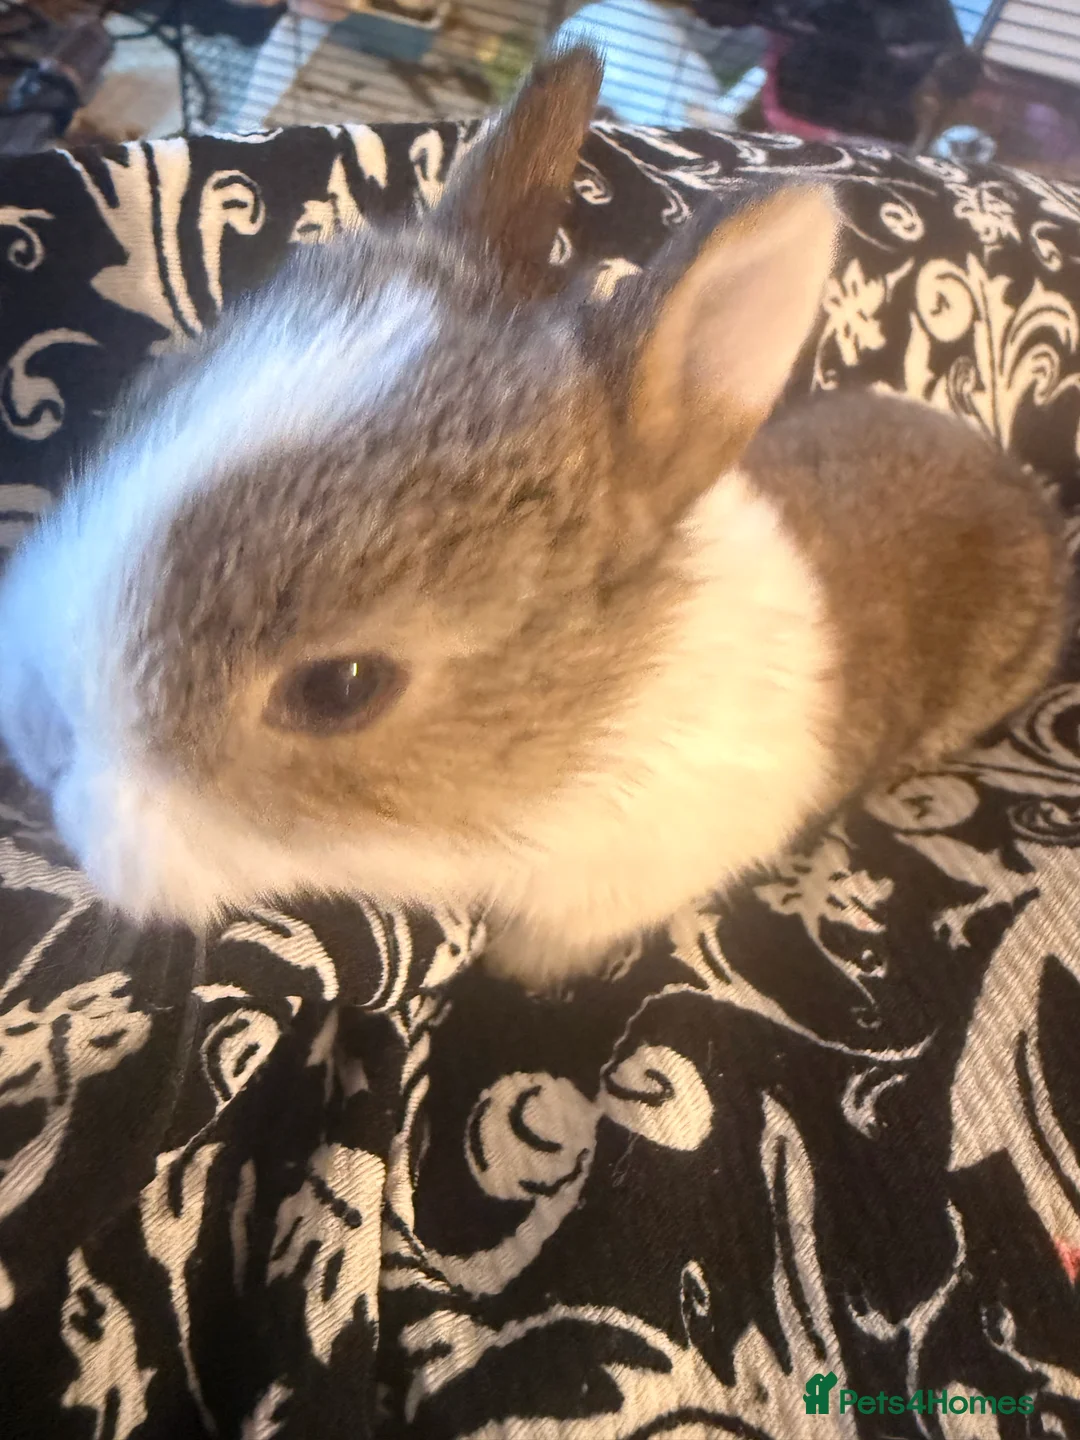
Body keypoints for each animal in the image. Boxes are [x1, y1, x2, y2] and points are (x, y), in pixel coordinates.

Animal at [0, 44, 1069, 989]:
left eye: (341, 688)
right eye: (150, 390)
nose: (41, 736)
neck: (592, 724)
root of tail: (1015, 483)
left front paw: (514, 974)